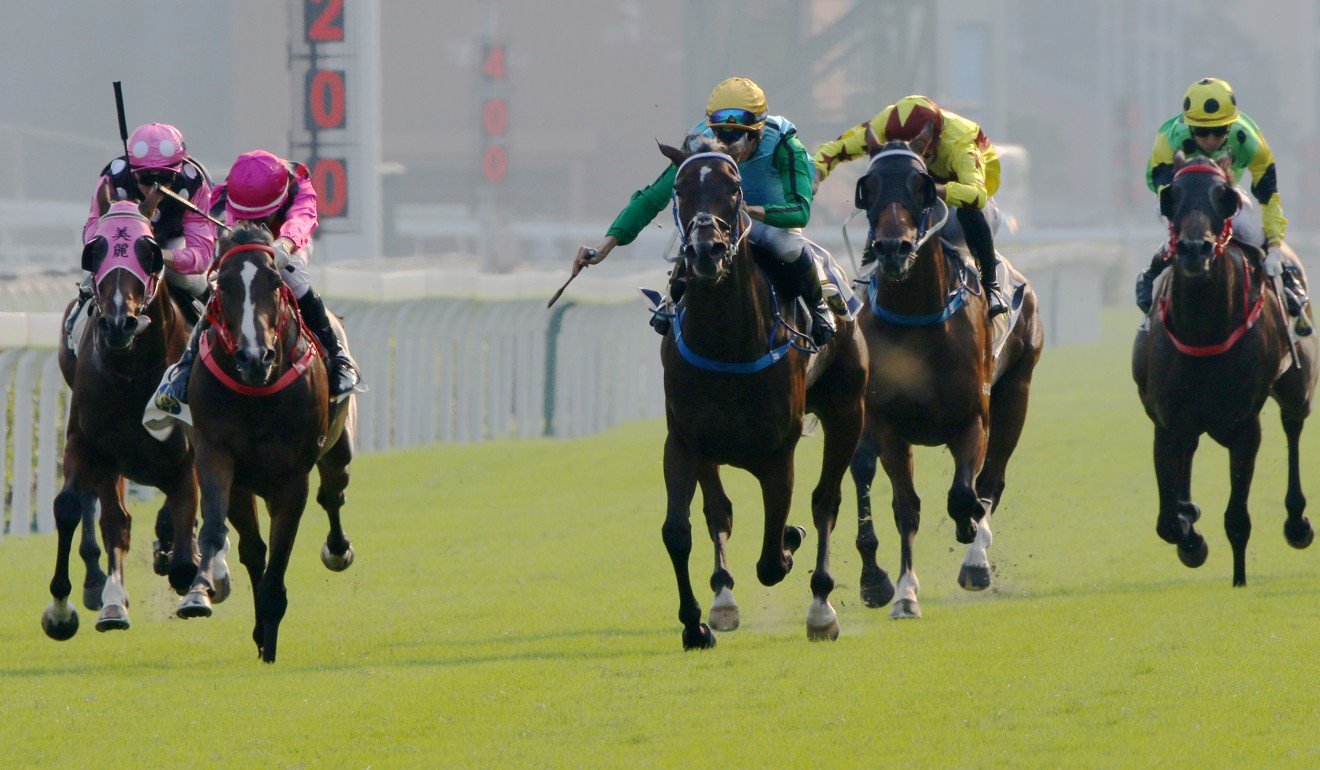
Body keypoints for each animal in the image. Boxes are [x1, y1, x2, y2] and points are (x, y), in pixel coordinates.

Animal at [42, 186, 198, 639]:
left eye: (150, 251)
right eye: (95, 249)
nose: (117, 323)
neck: (131, 375)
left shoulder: (187, 452)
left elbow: (186, 528)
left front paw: (191, 577)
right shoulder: (91, 444)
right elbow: (73, 508)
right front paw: (64, 608)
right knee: (116, 518)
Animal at [178, 223, 361, 663]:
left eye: (275, 280)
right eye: (223, 284)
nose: (254, 356)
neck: (256, 391)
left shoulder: (293, 478)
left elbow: (281, 553)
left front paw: (271, 633)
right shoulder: (215, 452)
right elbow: (216, 528)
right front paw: (198, 594)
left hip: (338, 449)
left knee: (333, 495)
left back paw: (338, 550)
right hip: (245, 486)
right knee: (252, 548)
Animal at [657, 138, 865, 649]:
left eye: (734, 189)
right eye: (679, 188)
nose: (706, 250)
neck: (728, 342)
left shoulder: (776, 452)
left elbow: (772, 557)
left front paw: (790, 541)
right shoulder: (685, 440)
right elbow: (681, 529)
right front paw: (696, 624)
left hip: (847, 410)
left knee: (826, 501)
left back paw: (821, 609)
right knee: (720, 512)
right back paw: (725, 600)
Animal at [850, 128, 1045, 620]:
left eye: (921, 186)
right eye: (869, 187)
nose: (892, 247)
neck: (918, 320)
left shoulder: (971, 418)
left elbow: (964, 494)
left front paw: (969, 533)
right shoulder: (888, 426)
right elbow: (906, 507)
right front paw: (903, 593)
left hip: (1016, 392)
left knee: (992, 478)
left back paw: (976, 557)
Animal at [1129, 153, 1314, 583]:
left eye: (1223, 196)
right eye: (1172, 194)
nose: (1195, 248)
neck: (1203, 331)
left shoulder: (1245, 426)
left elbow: (1237, 519)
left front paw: (1239, 580)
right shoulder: (1166, 421)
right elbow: (1167, 521)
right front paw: (1190, 537)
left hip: (1298, 383)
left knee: (1293, 424)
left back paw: (1297, 522)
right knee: (1191, 448)